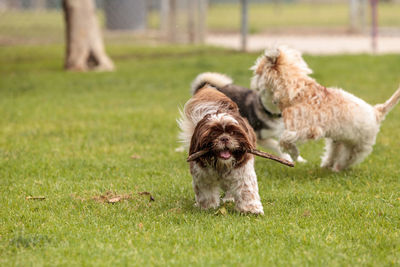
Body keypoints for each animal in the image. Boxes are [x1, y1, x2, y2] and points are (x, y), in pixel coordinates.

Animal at [177, 85, 264, 215]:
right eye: (213, 134)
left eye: (232, 132)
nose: (224, 138)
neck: (221, 165)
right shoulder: (202, 176)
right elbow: (206, 193)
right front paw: (207, 207)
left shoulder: (243, 172)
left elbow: (246, 190)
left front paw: (251, 210)